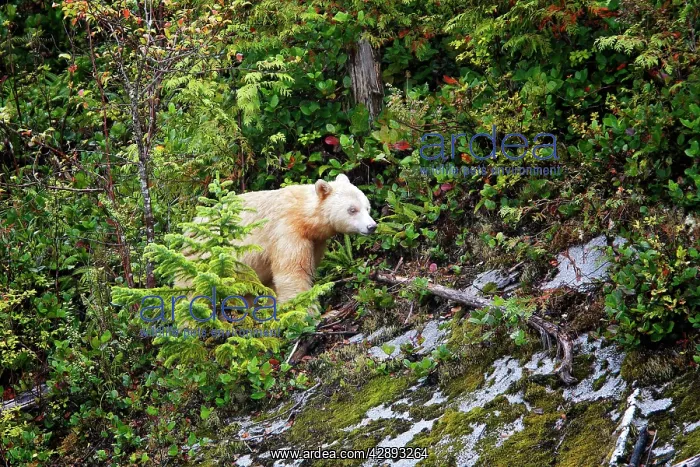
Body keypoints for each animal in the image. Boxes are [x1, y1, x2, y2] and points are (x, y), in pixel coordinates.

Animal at [176, 174, 376, 304]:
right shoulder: (286, 230)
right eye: (352, 209)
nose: (372, 226)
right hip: (200, 263)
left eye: (367, 207)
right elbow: (292, 272)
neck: (303, 215)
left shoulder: (315, 241)